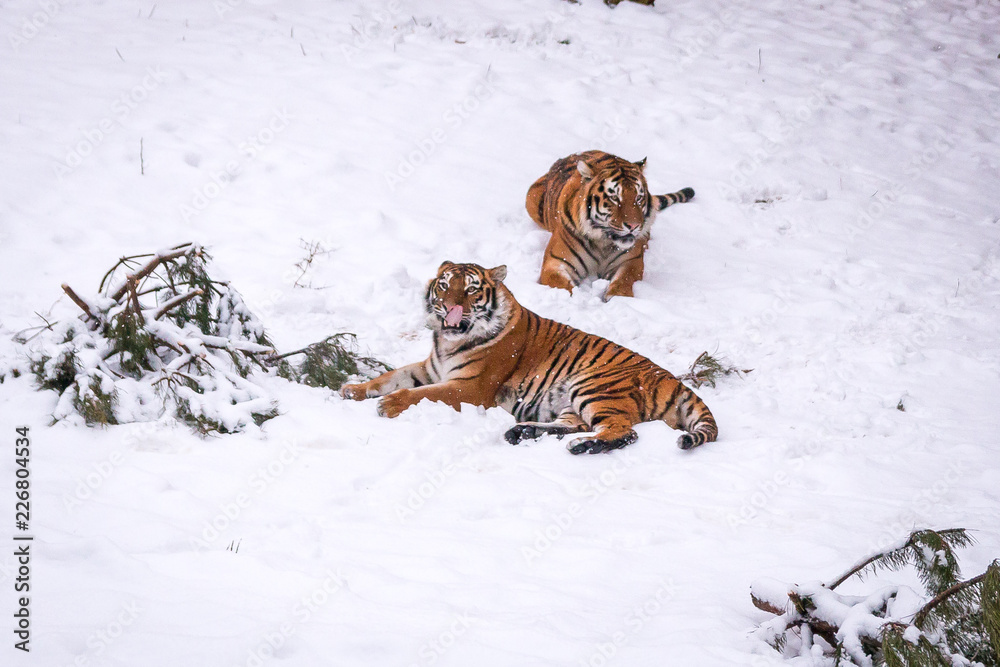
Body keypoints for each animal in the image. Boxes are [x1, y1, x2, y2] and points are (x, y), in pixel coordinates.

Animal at [340, 261, 718, 454]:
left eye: (471, 289)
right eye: (444, 286)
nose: (448, 307)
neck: (448, 340)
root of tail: (671, 379)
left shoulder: (470, 387)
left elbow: (420, 395)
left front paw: (389, 405)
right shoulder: (430, 369)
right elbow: (391, 376)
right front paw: (353, 390)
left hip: (593, 385)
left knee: (623, 431)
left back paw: (582, 447)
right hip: (571, 398)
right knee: (574, 424)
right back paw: (521, 432)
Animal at [525, 150, 695, 301]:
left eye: (638, 198)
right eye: (614, 198)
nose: (633, 226)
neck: (603, 242)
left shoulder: (630, 261)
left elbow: (625, 280)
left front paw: (619, 298)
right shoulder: (556, 261)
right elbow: (560, 284)